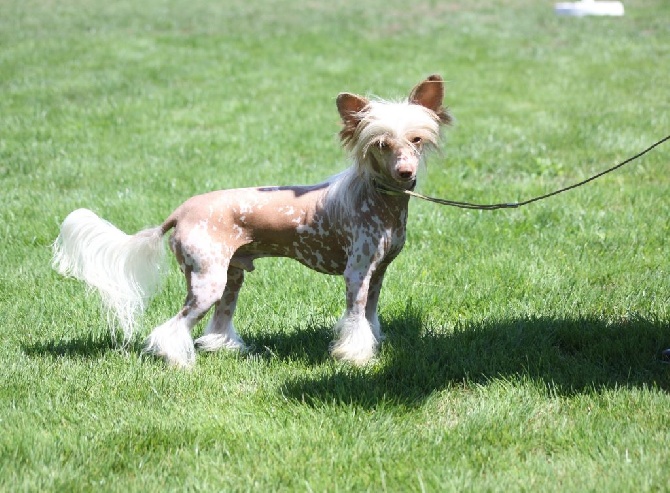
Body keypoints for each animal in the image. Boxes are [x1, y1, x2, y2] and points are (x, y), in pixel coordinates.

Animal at [51, 73, 452, 366]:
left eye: (417, 139)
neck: (378, 199)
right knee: (175, 325)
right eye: (381, 144)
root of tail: (179, 212)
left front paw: (372, 345)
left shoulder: (377, 272)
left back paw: (223, 348)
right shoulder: (356, 274)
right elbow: (355, 320)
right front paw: (355, 357)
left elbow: (369, 317)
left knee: (219, 319)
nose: (405, 173)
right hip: (208, 280)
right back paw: (177, 360)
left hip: (231, 275)